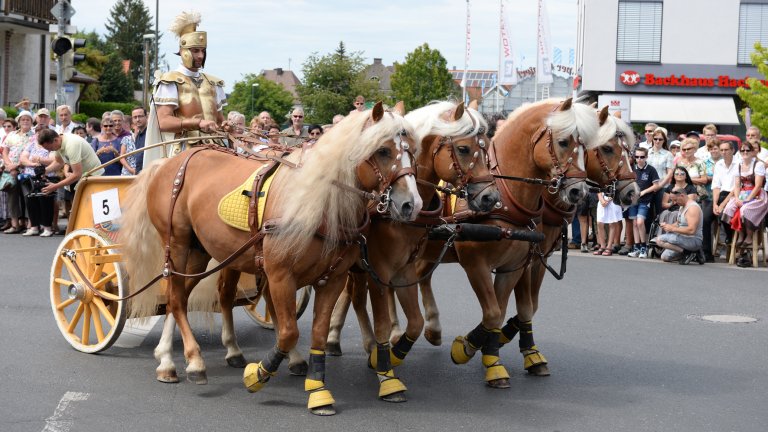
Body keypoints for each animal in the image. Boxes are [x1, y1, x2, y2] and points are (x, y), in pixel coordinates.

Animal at [121, 102, 424, 416]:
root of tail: (168, 164)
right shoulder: (280, 275)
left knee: (177, 297)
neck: (317, 202)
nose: (411, 205)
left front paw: (318, 390)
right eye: (383, 150)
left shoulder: (333, 279)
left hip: (200, 252)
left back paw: (167, 357)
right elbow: (288, 331)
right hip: (178, 246)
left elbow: (317, 331)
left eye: (413, 150)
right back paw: (190, 361)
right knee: (178, 299)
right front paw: (259, 374)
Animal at [326, 101, 500, 364]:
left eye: (487, 146)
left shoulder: (404, 267)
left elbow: (416, 321)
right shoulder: (378, 268)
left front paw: (395, 350)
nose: (490, 197)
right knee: (353, 298)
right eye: (463, 149)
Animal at [414, 98, 600, 388]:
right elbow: (495, 312)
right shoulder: (477, 264)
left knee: (420, 276)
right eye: (563, 142)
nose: (578, 192)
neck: (507, 200)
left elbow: (505, 310)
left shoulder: (517, 265)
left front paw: (493, 355)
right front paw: (469, 349)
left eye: (586, 146)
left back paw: (430, 329)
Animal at [496, 106, 640, 376]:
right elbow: (522, 303)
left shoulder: (538, 260)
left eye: (630, 151)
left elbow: (531, 305)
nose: (632, 193)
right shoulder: (526, 258)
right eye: (608, 148)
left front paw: (518, 344)